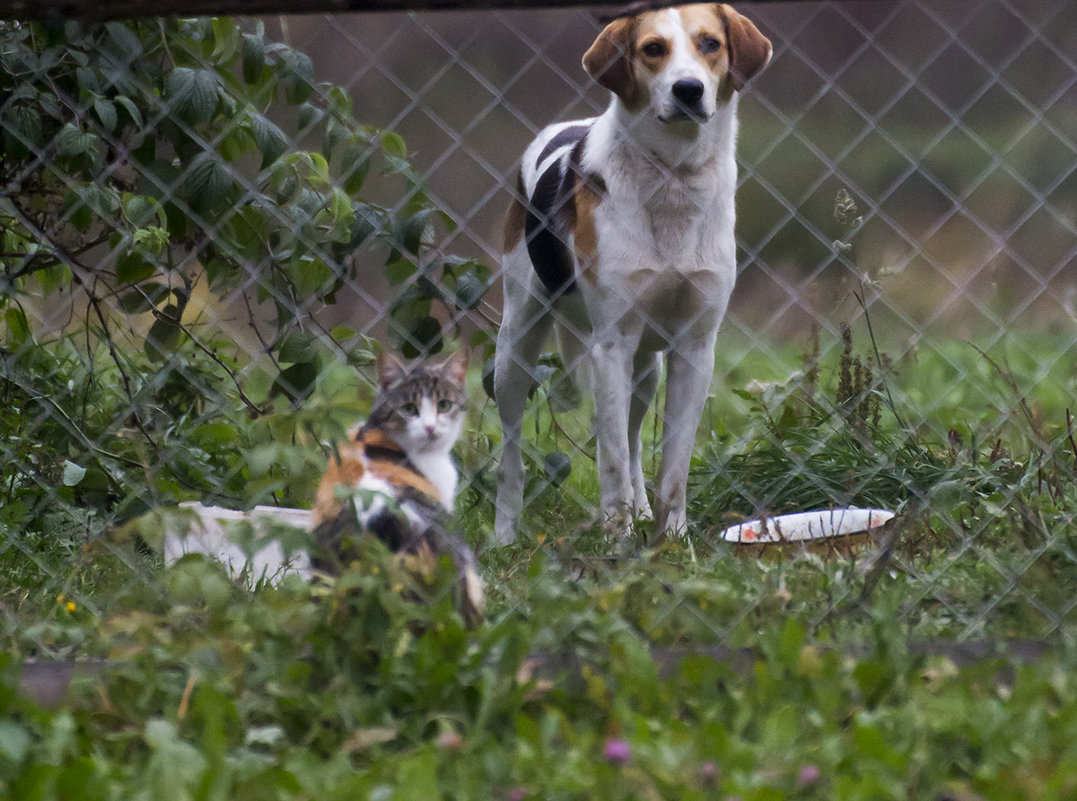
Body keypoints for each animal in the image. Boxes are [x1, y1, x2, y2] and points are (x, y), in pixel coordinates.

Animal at [493, 3, 771, 540]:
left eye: (710, 43)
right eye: (653, 49)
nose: (689, 89)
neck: (673, 180)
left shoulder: (694, 349)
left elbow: (673, 467)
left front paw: (671, 538)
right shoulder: (612, 346)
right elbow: (611, 461)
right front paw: (616, 539)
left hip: (647, 368)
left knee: (634, 437)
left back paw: (642, 511)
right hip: (516, 349)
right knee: (514, 454)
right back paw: (504, 535)